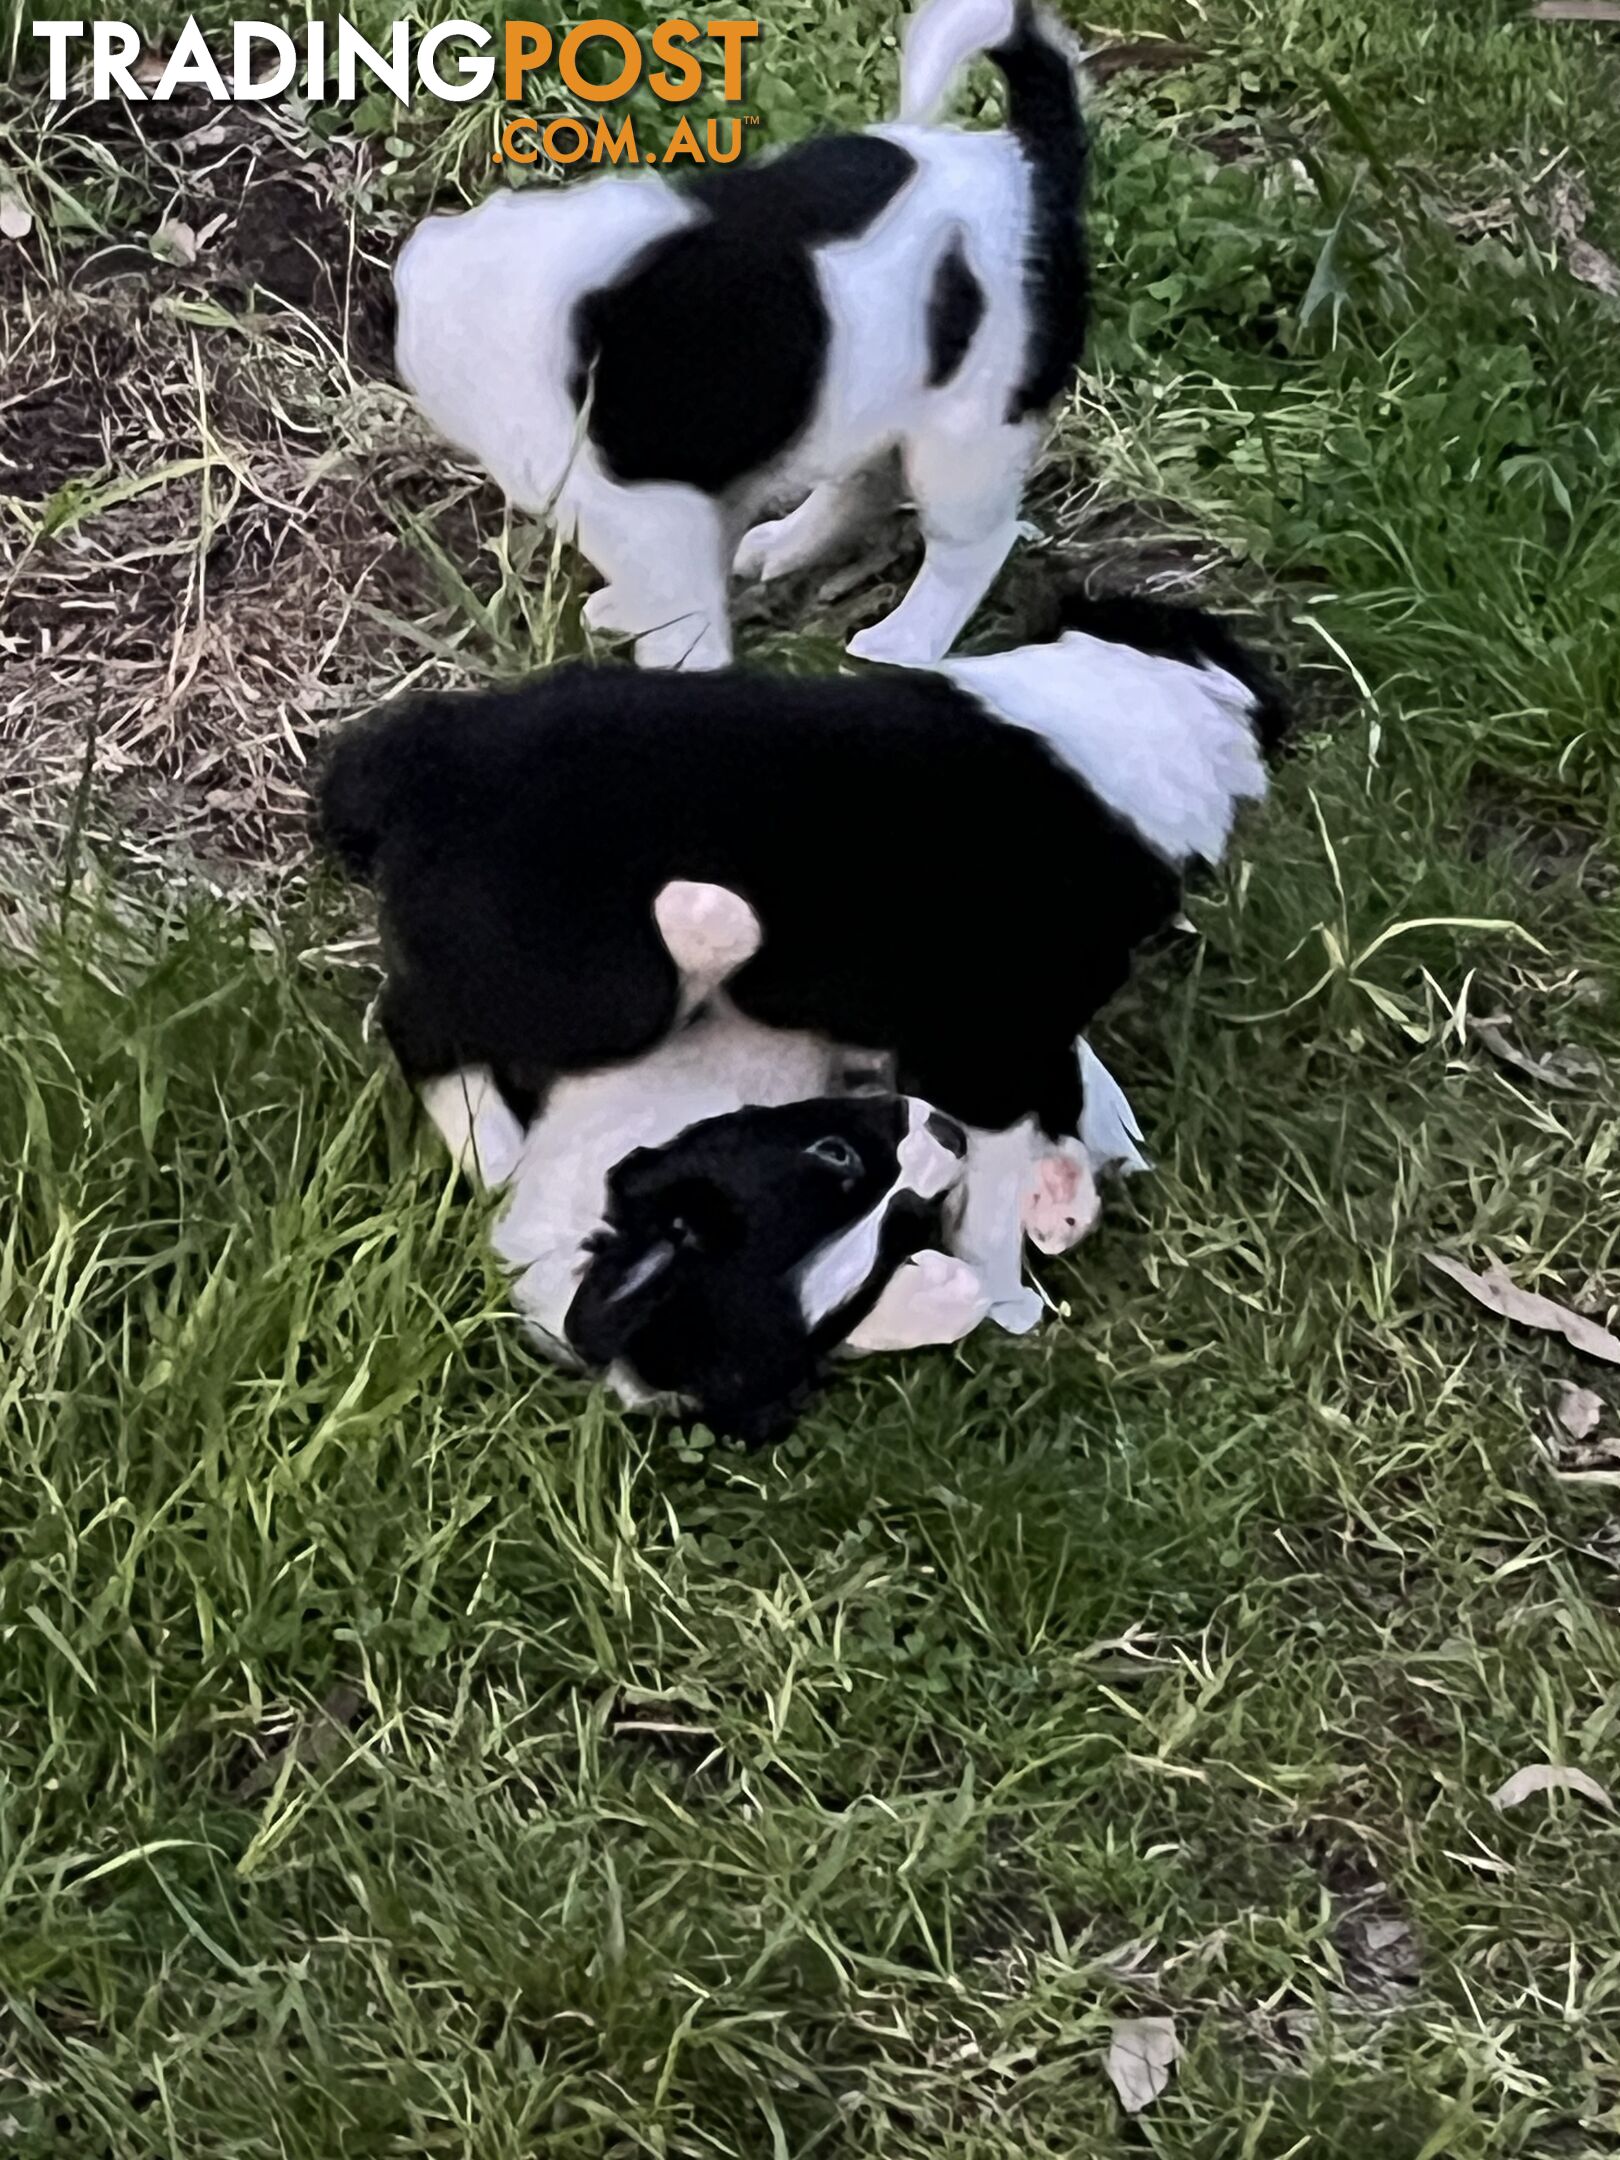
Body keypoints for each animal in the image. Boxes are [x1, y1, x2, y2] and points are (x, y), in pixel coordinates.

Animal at [317, 596, 1287, 1330]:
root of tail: (421, 760)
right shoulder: (989, 1049)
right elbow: (992, 1183)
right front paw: (1006, 1297)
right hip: (598, 991)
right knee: (418, 1025)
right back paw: (498, 1155)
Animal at [390, 0, 1092, 665]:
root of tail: (1029, 162)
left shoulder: (648, 508)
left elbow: (683, 612)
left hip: (968, 435)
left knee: (972, 545)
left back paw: (904, 641)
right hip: (873, 399)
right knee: (861, 481)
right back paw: (787, 543)